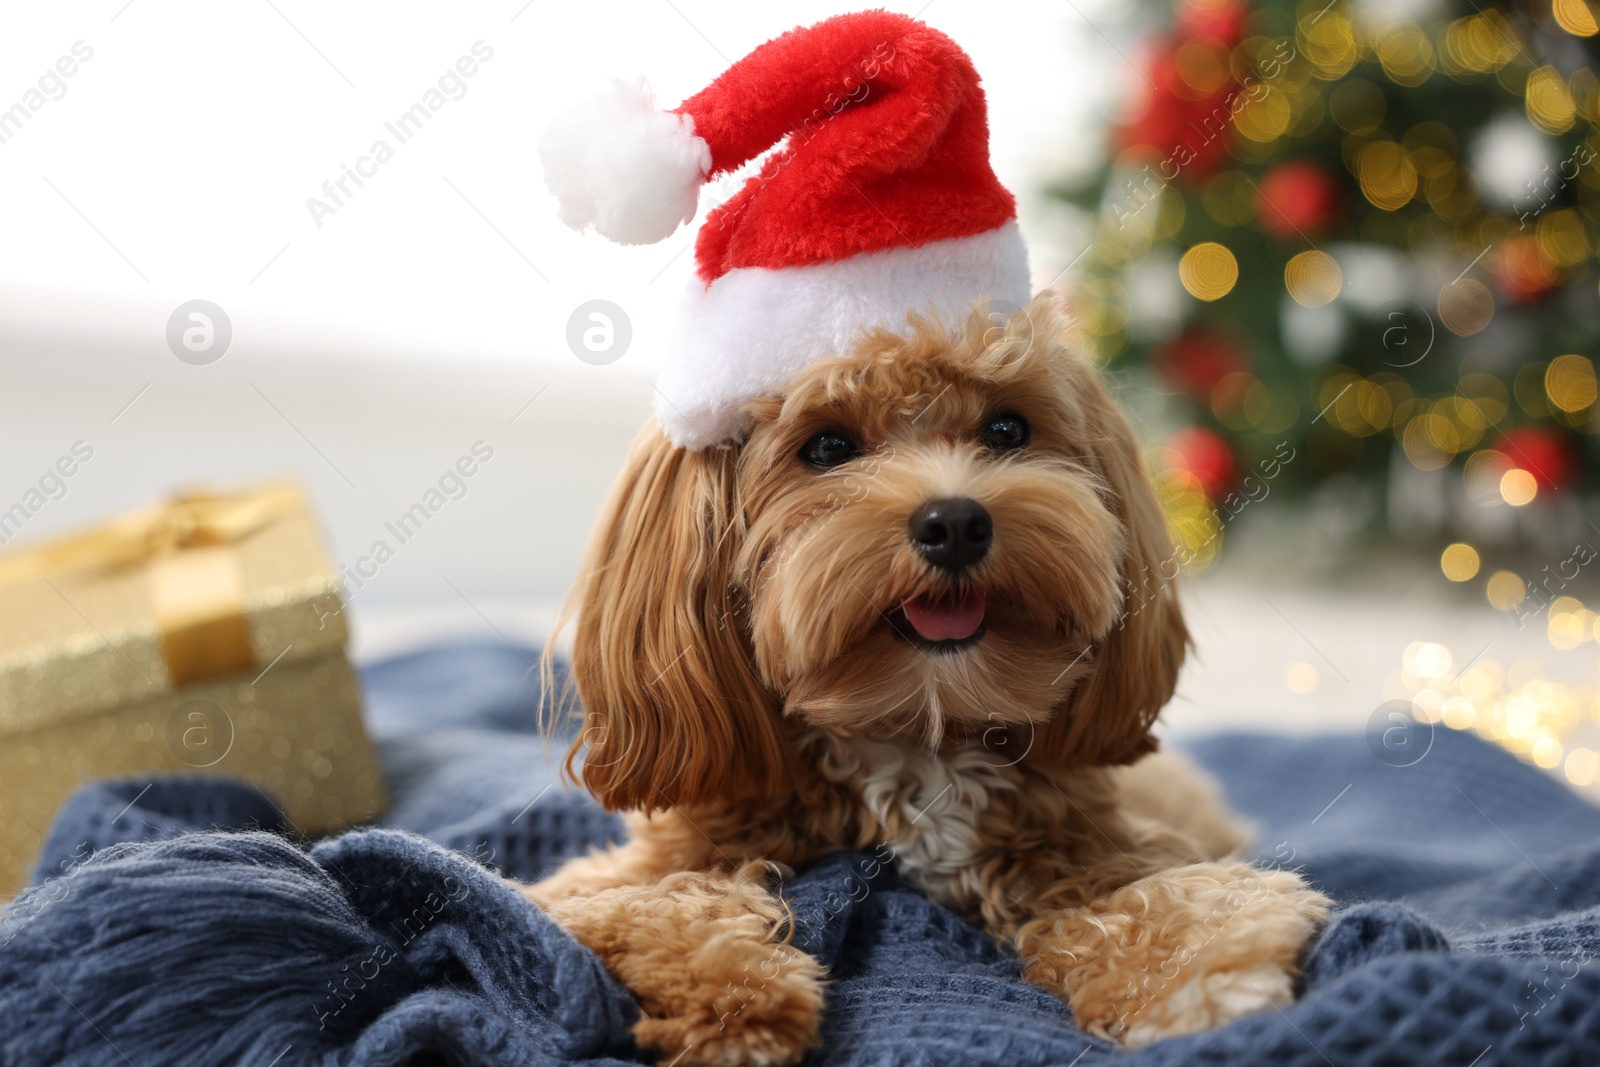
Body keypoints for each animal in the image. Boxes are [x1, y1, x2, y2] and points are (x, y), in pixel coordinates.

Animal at [521, 294, 1324, 1067]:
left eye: (1006, 428)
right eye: (828, 447)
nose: (956, 522)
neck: (915, 732)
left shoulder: (1093, 847)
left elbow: (1167, 899)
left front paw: (1202, 978)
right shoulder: (612, 878)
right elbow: (656, 904)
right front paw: (736, 996)